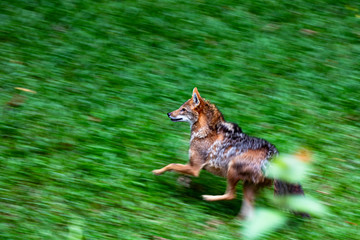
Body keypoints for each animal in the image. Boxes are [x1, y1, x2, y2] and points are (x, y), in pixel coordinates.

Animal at [153, 87, 308, 218]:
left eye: (183, 109)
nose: (168, 114)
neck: (206, 132)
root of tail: (275, 154)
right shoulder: (192, 165)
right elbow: (180, 171)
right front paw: (183, 183)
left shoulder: (195, 168)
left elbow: (171, 165)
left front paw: (157, 172)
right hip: (247, 187)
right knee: (248, 212)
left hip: (232, 170)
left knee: (231, 195)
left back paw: (208, 198)